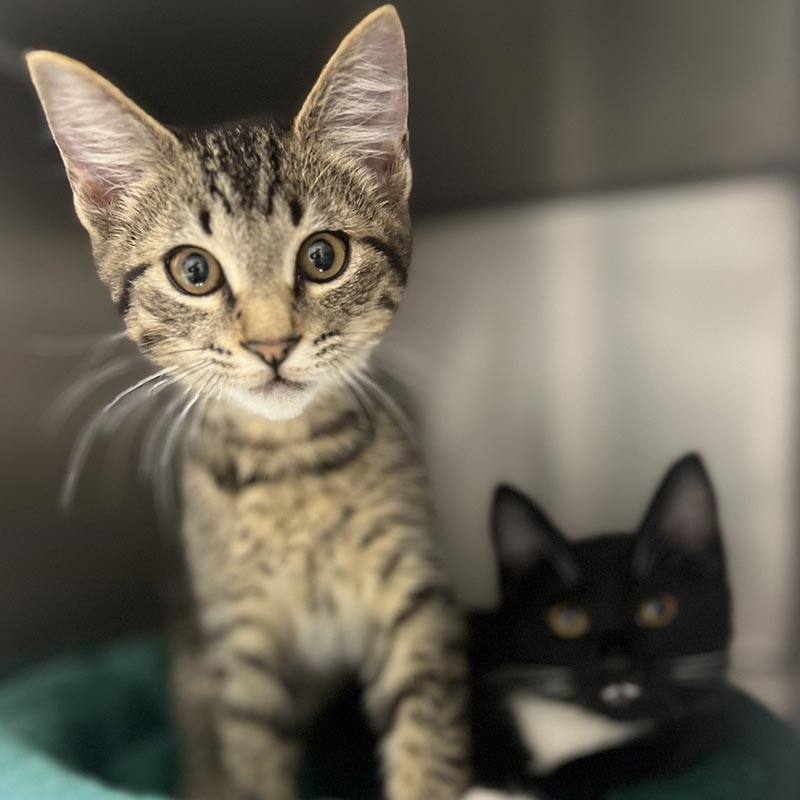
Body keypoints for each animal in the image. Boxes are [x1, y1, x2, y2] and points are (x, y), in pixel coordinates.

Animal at [28, 7, 468, 800]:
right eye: (193, 271)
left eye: (323, 256)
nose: (272, 344)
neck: (291, 468)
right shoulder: (238, 643)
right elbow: (252, 756)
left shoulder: (418, 597)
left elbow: (428, 728)